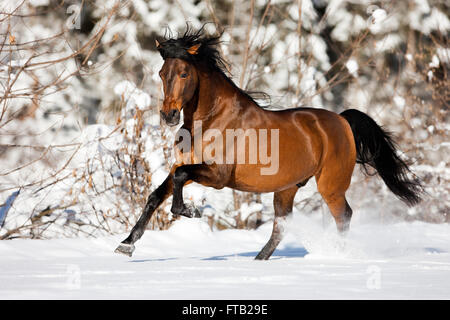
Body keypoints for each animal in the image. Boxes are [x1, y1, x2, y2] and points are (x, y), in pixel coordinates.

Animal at [114, 26, 424, 258]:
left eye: (184, 73)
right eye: (161, 73)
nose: (168, 115)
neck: (212, 120)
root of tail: (342, 120)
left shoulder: (217, 176)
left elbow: (179, 179)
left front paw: (190, 211)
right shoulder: (186, 167)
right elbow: (156, 195)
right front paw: (126, 245)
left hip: (330, 185)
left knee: (343, 216)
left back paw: (339, 254)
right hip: (287, 188)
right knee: (281, 226)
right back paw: (259, 260)